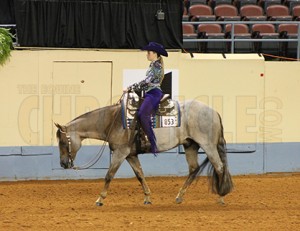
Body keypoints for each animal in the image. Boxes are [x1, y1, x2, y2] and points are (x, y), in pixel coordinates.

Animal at [56, 95, 234, 206]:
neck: (113, 121)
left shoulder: (120, 153)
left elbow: (109, 175)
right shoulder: (130, 155)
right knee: (193, 169)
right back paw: (179, 196)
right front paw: (147, 198)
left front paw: (100, 199)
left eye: (63, 142)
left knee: (219, 167)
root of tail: (214, 112)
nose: (63, 164)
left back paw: (220, 197)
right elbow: (140, 175)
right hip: (190, 145)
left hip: (208, 145)